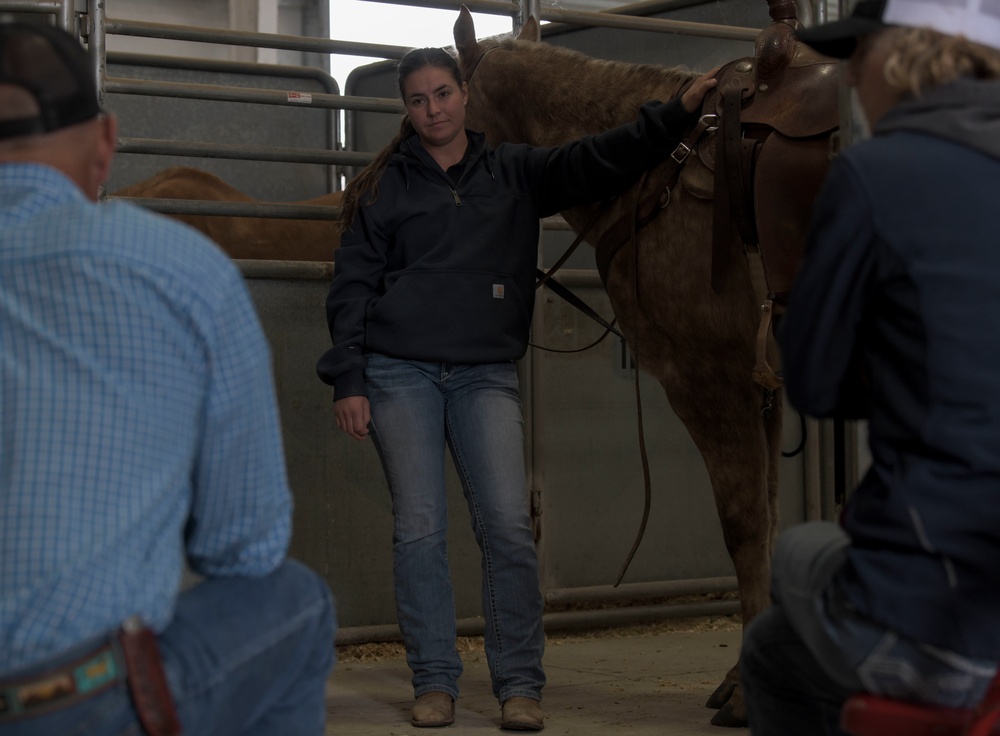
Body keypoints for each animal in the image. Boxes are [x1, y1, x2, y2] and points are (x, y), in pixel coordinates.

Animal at [454, 4, 836, 732]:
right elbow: (770, 513)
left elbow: (744, 521)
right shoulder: (761, 391)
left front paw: (745, 693)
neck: (660, 172)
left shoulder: (708, 380)